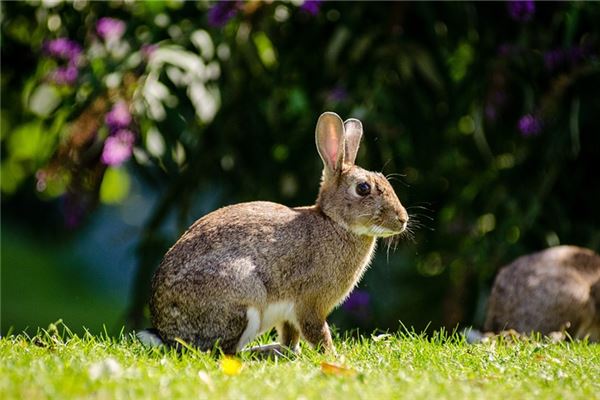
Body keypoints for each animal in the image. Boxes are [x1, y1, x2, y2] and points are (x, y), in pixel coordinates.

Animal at [139, 111, 412, 354]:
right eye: (363, 188)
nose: (402, 219)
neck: (334, 222)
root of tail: (166, 333)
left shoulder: (290, 315)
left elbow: (291, 335)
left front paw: (292, 352)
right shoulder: (310, 304)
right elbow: (317, 332)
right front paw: (333, 357)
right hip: (244, 297)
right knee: (223, 352)